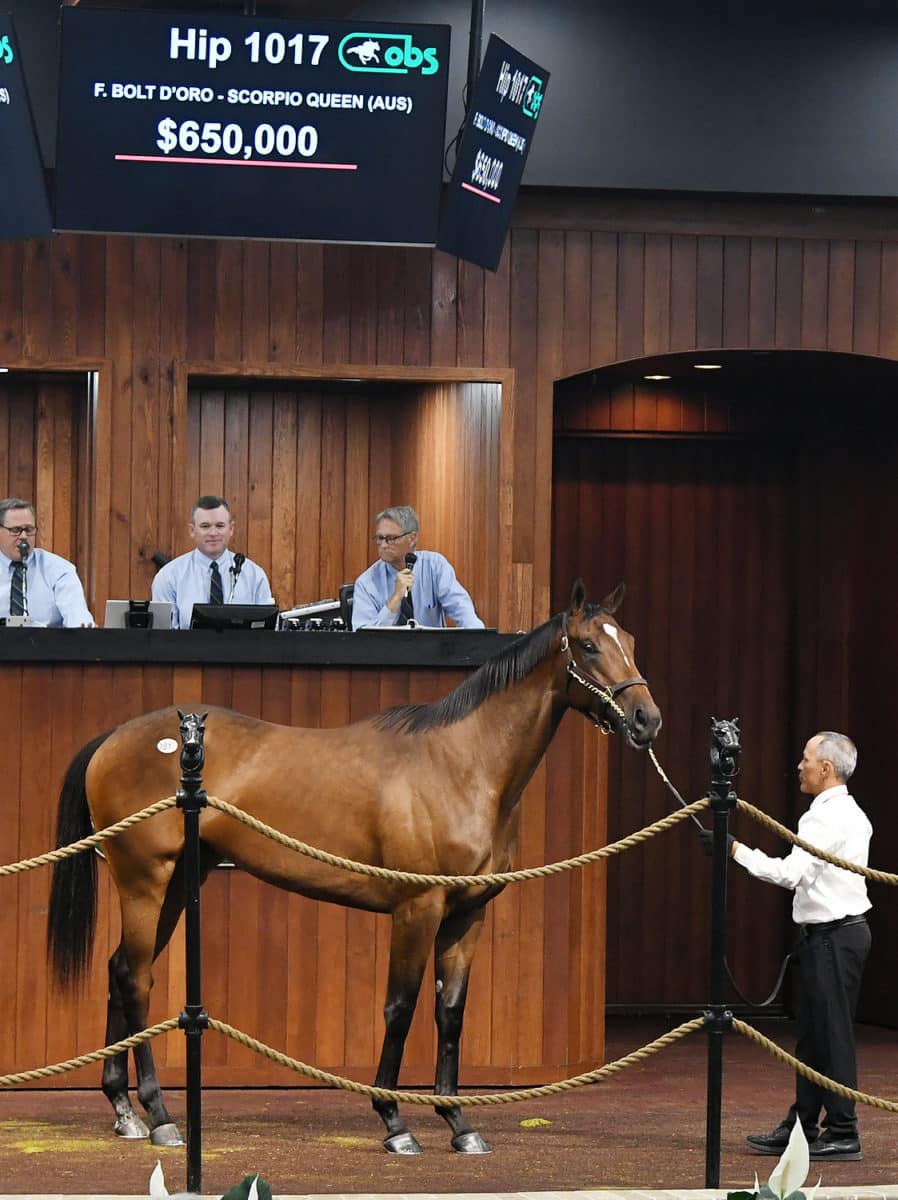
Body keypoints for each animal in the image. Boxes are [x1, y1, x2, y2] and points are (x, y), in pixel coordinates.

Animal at [49, 580, 662, 1152]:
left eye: (630, 642)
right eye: (588, 646)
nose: (646, 719)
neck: (461, 764)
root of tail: (113, 738)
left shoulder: (467, 917)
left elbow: (450, 1013)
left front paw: (459, 1123)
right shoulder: (418, 909)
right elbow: (400, 1008)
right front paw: (394, 1122)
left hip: (179, 883)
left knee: (119, 972)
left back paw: (125, 1111)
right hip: (145, 882)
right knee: (136, 979)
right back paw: (160, 1117)